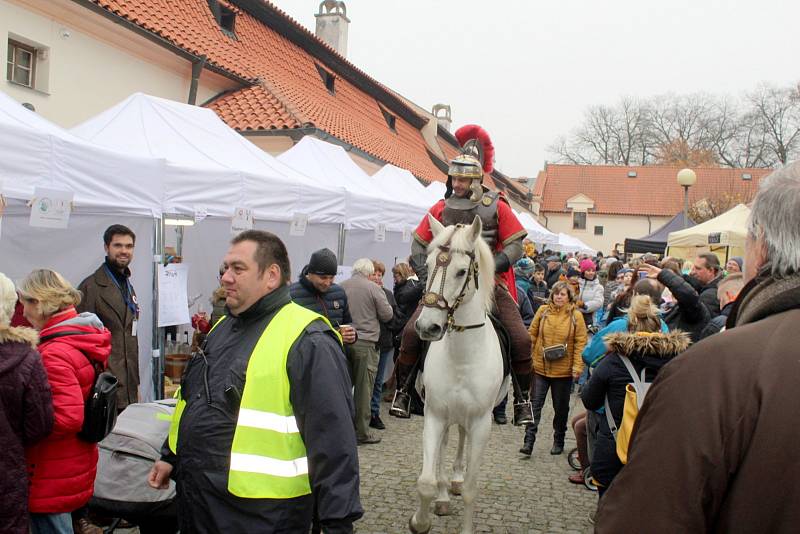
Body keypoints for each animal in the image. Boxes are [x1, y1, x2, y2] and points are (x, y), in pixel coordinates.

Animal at [410, 216, 504, 532]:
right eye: (427, 266)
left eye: (462, 271)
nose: (428, 327)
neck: (463, 358)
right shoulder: (435, 414)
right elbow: (426, 481)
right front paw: (420, 521)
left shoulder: (482, 423)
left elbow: (472, 489)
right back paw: (442, 494)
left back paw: (456, 479)